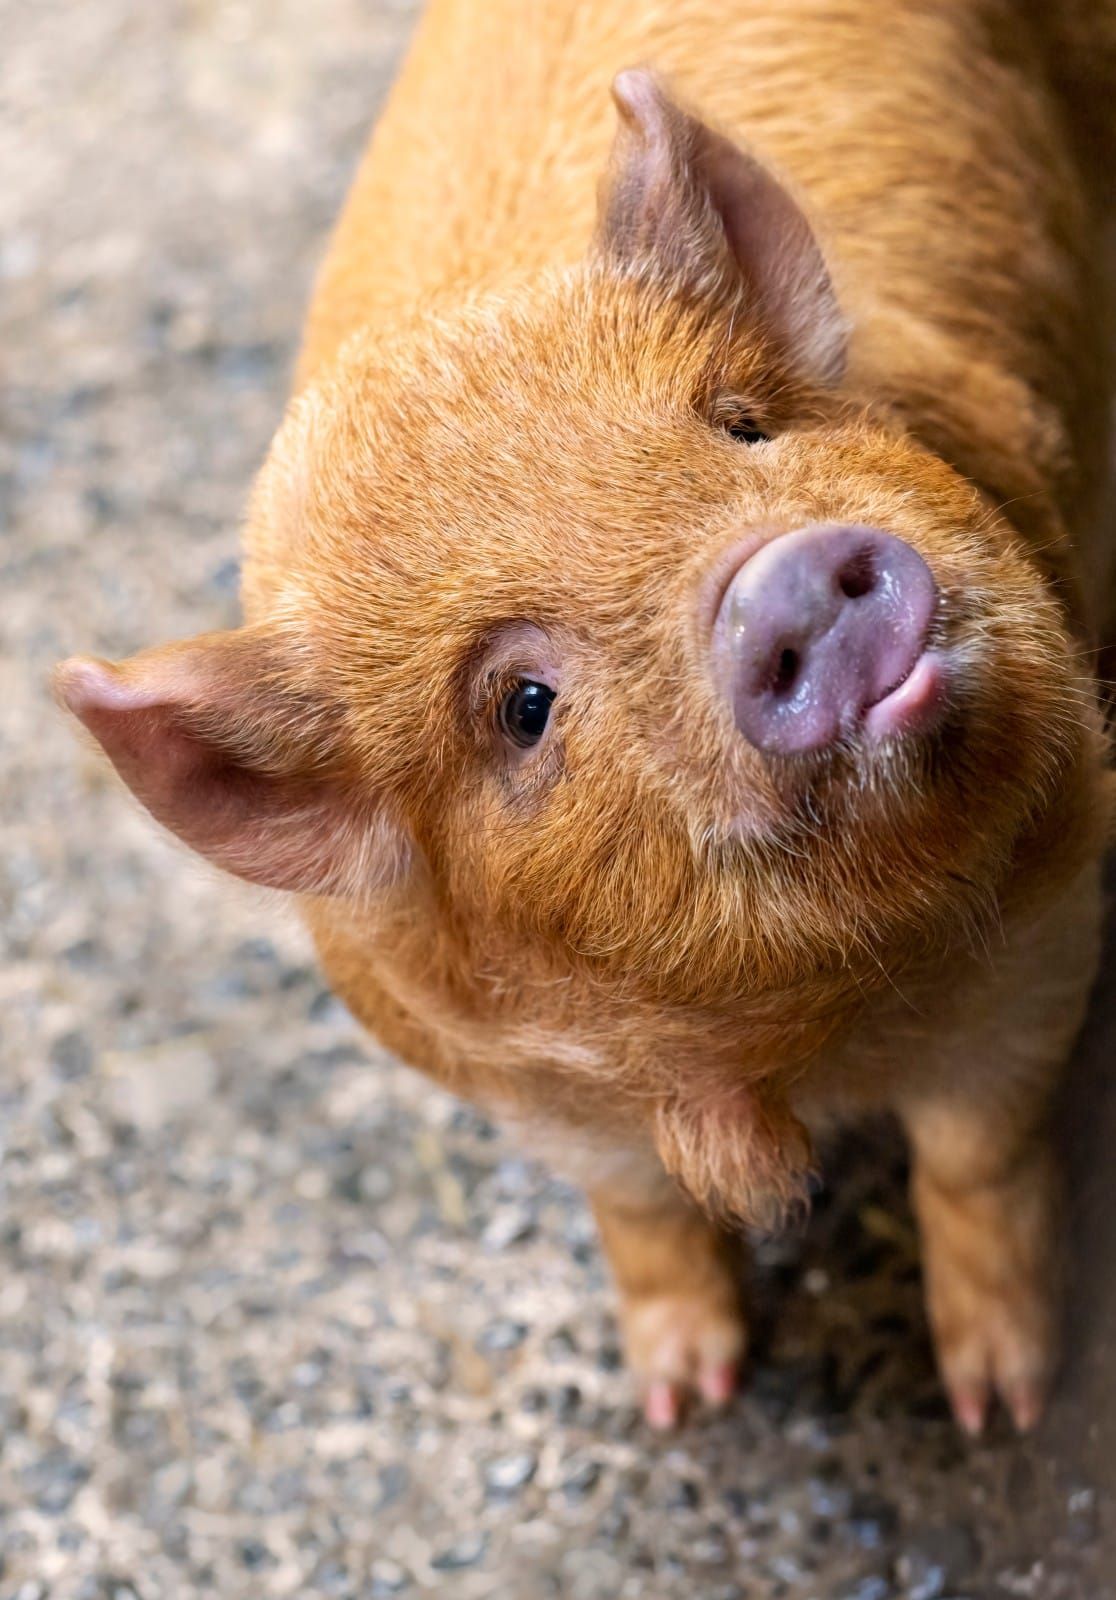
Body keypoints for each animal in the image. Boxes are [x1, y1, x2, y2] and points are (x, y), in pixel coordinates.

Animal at [57, 0, 1116, 1434]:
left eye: (745, 426)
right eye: (524, 704)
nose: (787, 573)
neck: (796, 1049)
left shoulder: (1045, 933)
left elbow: (977, 1162)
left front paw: (1001, 1408)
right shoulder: (523, 1095)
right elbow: (643, 1213)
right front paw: (687, 1399)